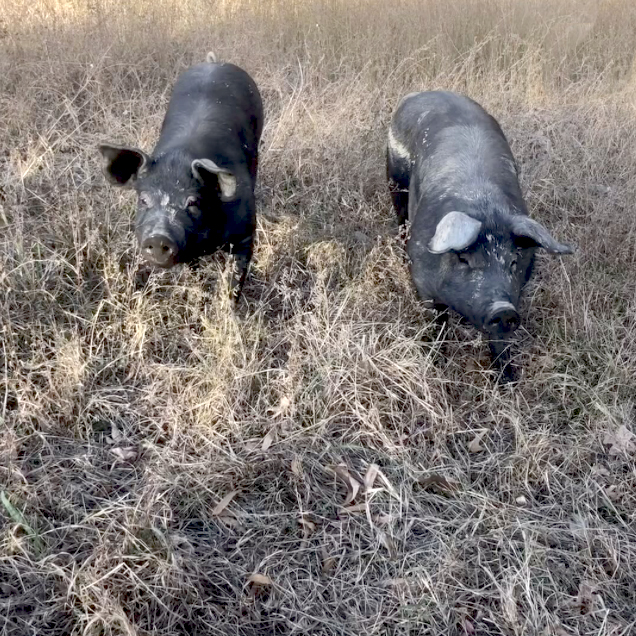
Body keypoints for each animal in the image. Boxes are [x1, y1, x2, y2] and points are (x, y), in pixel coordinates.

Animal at [98, 52, 262, 298]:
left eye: (193, 202)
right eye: (143, 200)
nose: (158, 237)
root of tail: (214, 62)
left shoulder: (245, 235)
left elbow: (234, 279)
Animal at [388, 89, 576, 378]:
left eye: (513, 262)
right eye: (464, 259)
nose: (503, 309)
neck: (484, 208)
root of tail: (423, 92)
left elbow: (499, 340)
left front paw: (508, 379)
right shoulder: (424, 285)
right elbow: (437, 324)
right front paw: (436, 364)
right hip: (394, 181)